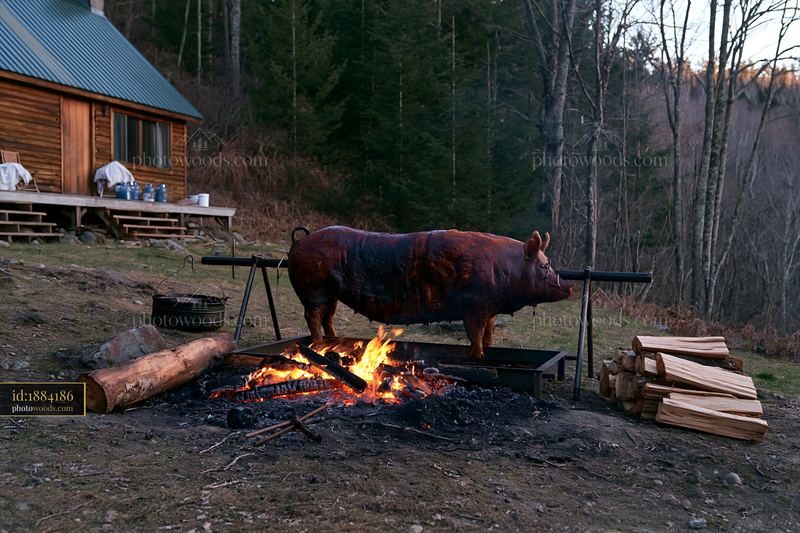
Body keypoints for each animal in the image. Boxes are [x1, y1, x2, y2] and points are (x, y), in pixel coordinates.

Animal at [288, 225, 573, 358]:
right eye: (544, 265)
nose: (569, 286)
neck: (505, 268)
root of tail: (300, 241)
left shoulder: (490, 308)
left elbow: (490, 331)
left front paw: (490, 349)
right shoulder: (474, 306)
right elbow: (476, 332)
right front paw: (478, 355)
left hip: (331, 294)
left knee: (328, 316)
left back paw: (334, 338)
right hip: (312, 288)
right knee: (312, 316)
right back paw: (319, 342)